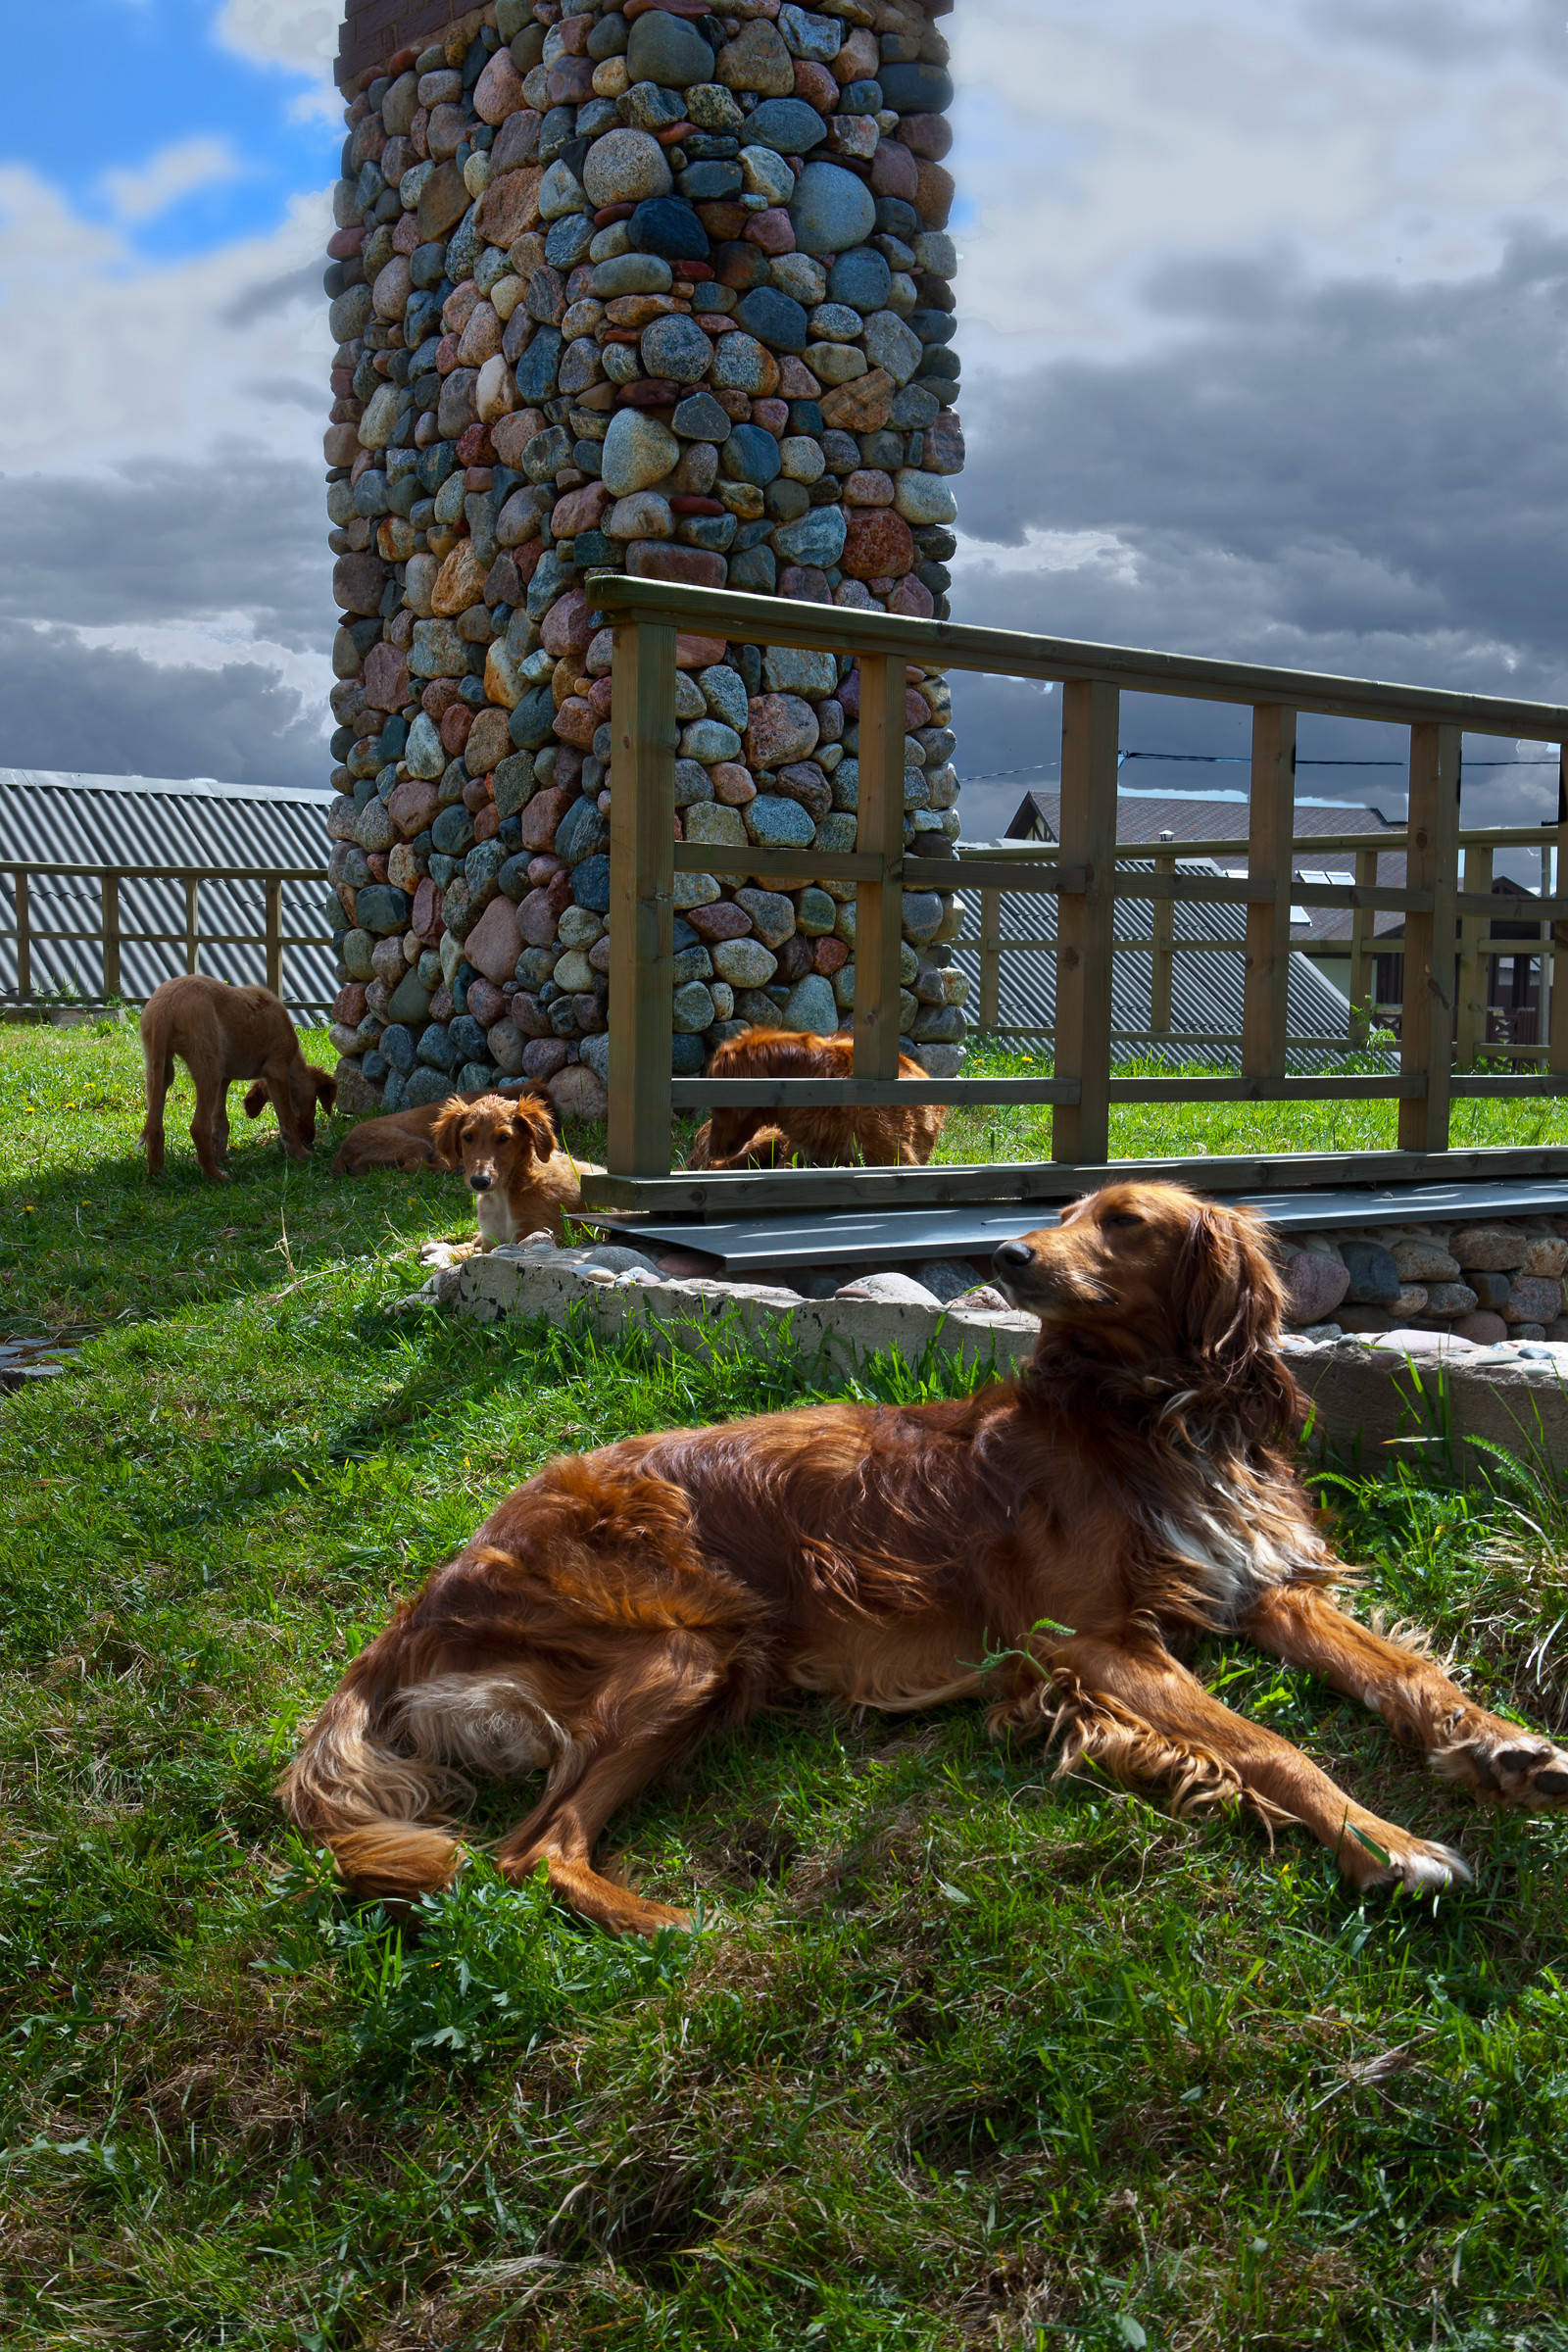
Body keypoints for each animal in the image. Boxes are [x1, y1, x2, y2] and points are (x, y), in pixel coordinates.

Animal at [141, 968, 338, 1176]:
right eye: (314, 1100)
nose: (309, 1139)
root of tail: (167, 1006)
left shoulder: (224, 1078)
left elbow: (220, 1122)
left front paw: (223, 1158)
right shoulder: (276, 1070)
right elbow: (287, 1118)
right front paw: (301, 1155)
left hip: (158, 1067)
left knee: (154, 1125)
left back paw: (158, 1174)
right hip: (208, 1066)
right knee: (198, 1127)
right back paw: (214, 1176)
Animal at [281, 1185, 1568, 1937]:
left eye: (1124, 1221)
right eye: (1063, 1210)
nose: (1003, 1250)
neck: (1155, 1419)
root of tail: (437, 1583)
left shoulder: (1259, 1589)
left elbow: (1402, 1674)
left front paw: (1505, 1746)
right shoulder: (1088, 1639)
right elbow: (1268, 1744)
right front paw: (1388, 1847)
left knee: (536, 1847)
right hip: (687, 1651)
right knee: (527, 1853)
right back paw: (683, 1927)